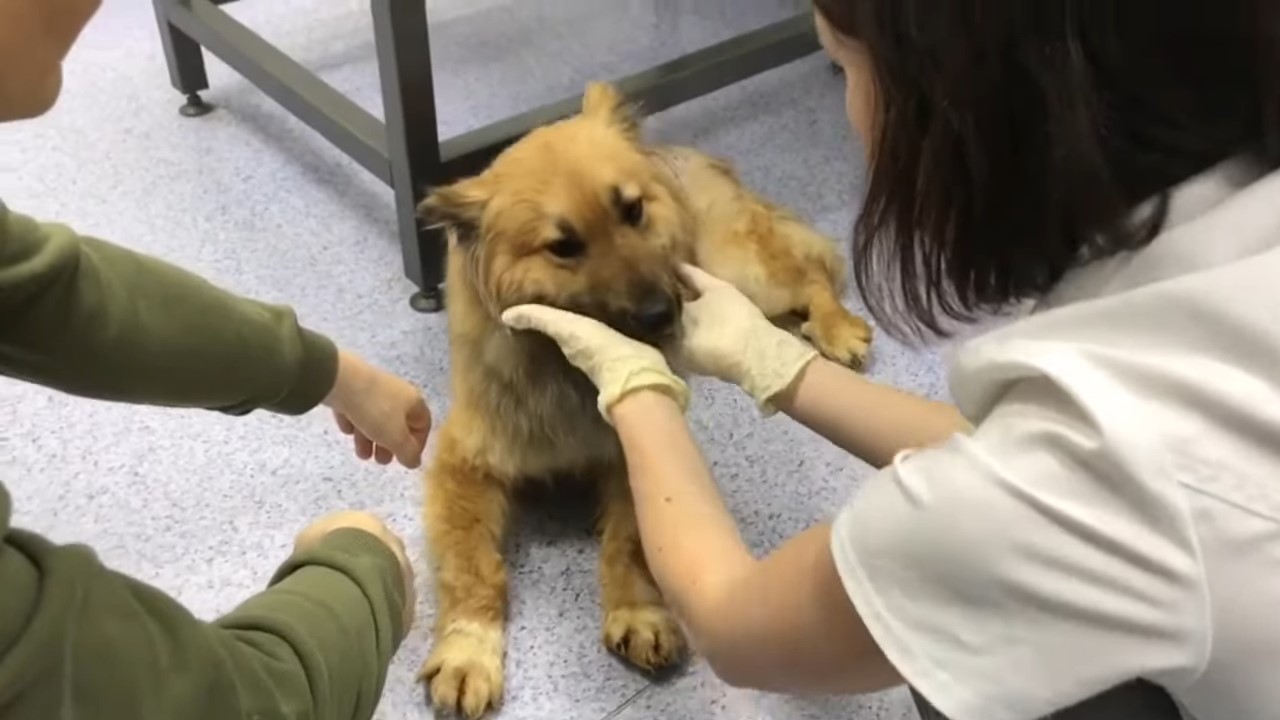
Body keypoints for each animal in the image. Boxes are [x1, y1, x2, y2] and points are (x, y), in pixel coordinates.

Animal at [414, 82, 875, 712]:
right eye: (563, 246)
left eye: (632, 210)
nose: (664, 314)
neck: (563, 370)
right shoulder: (465, 464)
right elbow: (472, 567)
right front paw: (468, 651)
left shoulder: (630, 457)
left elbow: (630, 541)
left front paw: (639, 612)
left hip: (738, 271)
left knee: (809, 278)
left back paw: (834, 328)